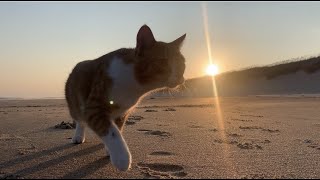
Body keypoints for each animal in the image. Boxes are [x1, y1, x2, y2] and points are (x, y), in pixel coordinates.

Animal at [64, 24, 186, 172]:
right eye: (163, 62)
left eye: (182, 63)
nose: (180, 78)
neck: (135, 85)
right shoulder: (94, 107)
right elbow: (112, 132)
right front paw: (122, 158)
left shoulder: (122, 112)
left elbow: (117, 128)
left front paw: (110, 150)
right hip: (75, 102)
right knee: (79, 120)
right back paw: (78, 136)